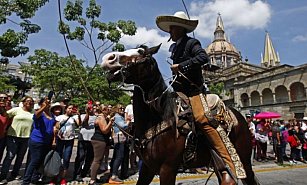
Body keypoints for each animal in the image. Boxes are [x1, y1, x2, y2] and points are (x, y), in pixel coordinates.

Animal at [101, 44, 260, 184]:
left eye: (140, 51)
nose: (108, 58)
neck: (158, 118)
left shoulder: (167, 168)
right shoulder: (147, 167)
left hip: (244, 159)